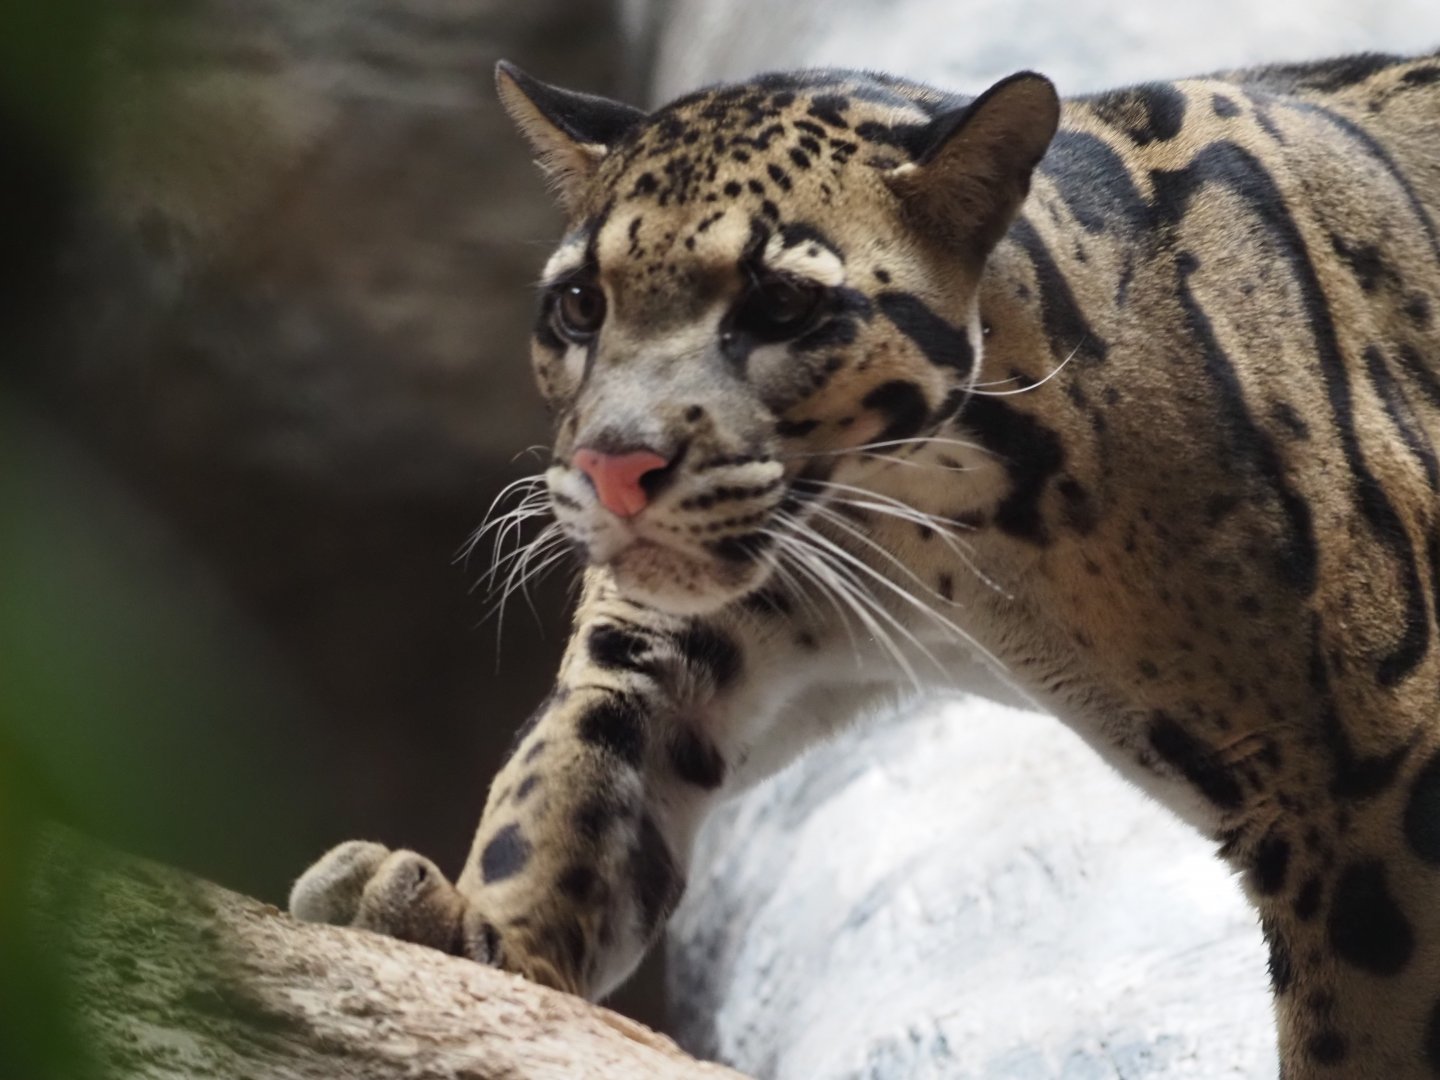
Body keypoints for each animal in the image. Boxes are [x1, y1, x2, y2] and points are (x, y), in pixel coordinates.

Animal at [289, 49, 1440, 1077]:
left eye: (782, 305)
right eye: (581, 305)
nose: (615, 468)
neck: (936, 525)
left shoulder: (1372, 784)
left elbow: (1363, 1029)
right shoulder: (681, 641)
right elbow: (564, 789)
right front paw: (472, 934)